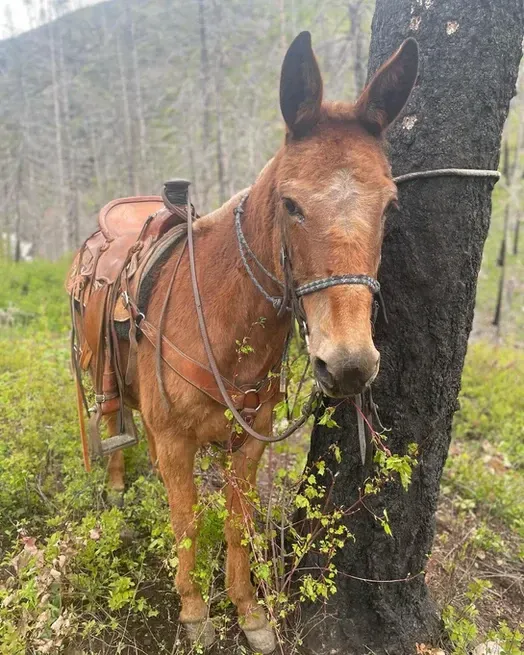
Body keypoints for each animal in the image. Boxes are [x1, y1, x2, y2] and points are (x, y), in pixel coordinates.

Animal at [70, 31, 418, 654]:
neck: (219, 317)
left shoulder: (249, 442)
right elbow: (186, 521)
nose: (349, 364)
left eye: (389, 205)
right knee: (110, 421)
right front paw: (193, 610)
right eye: (291, 204)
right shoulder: (175, 443)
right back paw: (114, 489)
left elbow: (236, 523)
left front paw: (249, 611)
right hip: (98, 371)